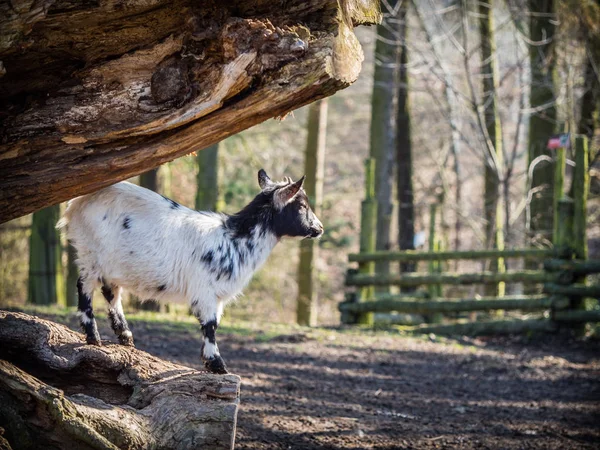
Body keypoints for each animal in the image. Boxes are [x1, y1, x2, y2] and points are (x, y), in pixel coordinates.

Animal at [57, 169, 324, 372]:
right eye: (301, 205)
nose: (319, 228)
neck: (233, 239)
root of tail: (76, 203)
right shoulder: (205, 290)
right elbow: (210, 325)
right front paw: (217, 365)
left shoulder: (217, 296)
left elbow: (213, 324)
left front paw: (211, 362)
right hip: (90, 253)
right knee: (84, 287)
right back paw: (94, 336)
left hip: (112, 264)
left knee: (111, 292)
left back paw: (126, 336)